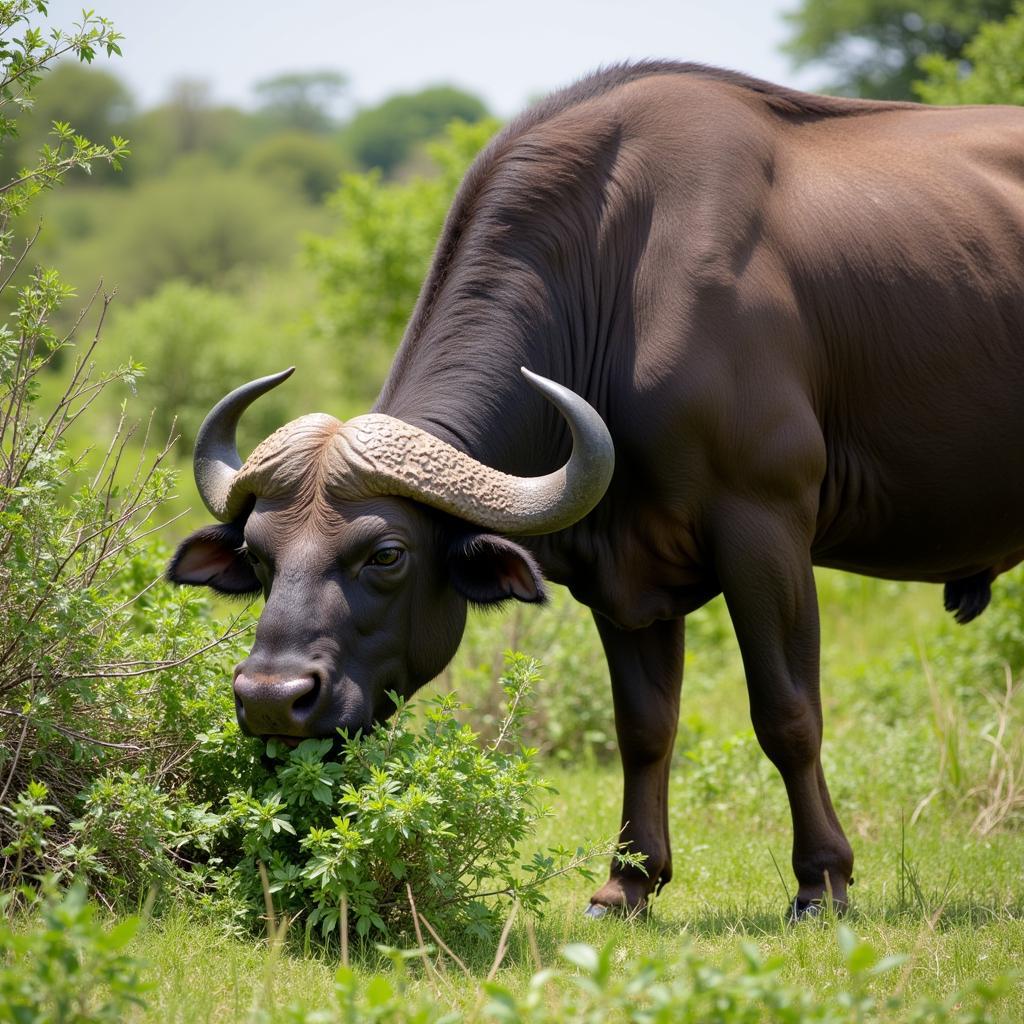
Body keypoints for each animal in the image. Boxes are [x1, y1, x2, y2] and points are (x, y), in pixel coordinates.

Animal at [167, 59, 1024, 917]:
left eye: (386, 554)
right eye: (259, 553)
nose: (271, 697)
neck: (623, 273)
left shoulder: (767, 526)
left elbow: (787, 711)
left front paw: (821, 881)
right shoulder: (626, 573)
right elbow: (643, 726)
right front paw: (628, 883)